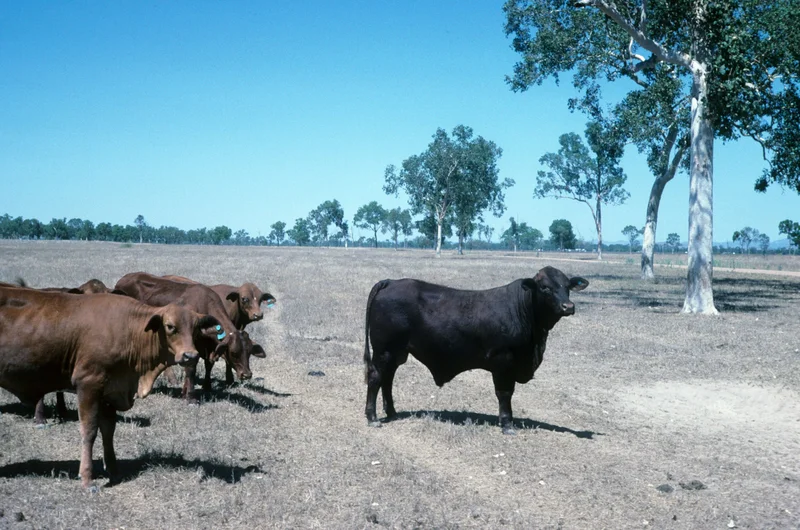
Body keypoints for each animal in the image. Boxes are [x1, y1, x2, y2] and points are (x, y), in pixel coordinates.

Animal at [0, 284, 222, 488]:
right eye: (170, 326)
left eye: (195, 329)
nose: (190, 356)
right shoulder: (88, 385)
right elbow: (89, 431)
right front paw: (87, 478)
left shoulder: (111, 391)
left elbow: (108, 430)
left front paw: (113, 470)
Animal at [114, 273, 266, 403]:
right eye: (233, 353)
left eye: (249, 353)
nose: (247, 374)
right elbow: (191, 368)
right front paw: (190, 395)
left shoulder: (208, 346)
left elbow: (208, 365)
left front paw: (206, 386)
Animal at [363, 266, 588, 434]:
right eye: (545, 288)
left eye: (567, 286)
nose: (568, 306)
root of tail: (391, 281)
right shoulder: (503, 361)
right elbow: (505, 393)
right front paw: (507, 424)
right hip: (384, 351)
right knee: (376, 377)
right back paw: (373, 417)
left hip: (396, 353)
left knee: (388, 379)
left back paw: (392, 412)